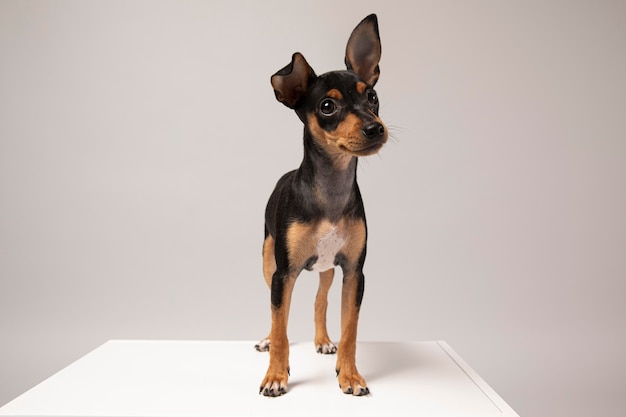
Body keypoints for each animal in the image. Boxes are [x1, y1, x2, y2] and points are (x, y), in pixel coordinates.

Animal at [258, 13, 386, 396]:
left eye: (372, 96)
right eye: (327, 107)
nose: (376, 128)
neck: (330, 188)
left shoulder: (354, 273)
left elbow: (350, 330)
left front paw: (350, 375)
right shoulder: (283, 275)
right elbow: (281, 327)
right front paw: (276, 375)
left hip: (328, 269)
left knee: (320, 300)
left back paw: (323, 339)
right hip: (268, 261)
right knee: (276, 315)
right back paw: (267, 339)